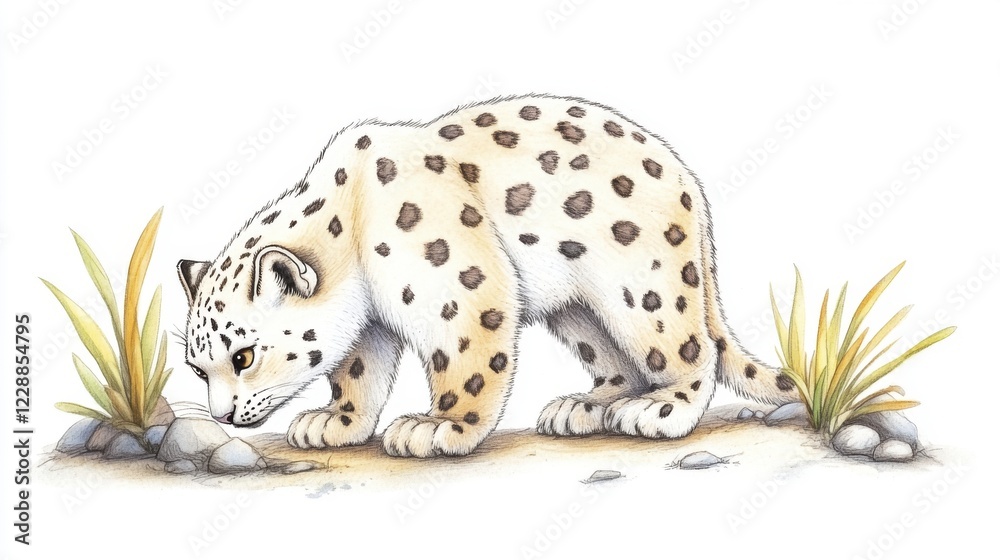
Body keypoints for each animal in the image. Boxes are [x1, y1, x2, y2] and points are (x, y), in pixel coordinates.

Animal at [176, 94, 799, 458]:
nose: (222, 415)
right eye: (197, 366)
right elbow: (358, 370)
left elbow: (466, 363)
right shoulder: (369, 323)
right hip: (577, 310)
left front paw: (439, 427)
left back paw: (660, 410)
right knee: (615, 360)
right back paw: (581, 407)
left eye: (243, 356)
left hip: (641, 289)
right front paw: (336, 420)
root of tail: (688, 183)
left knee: (692, 350)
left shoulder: (458, 287)